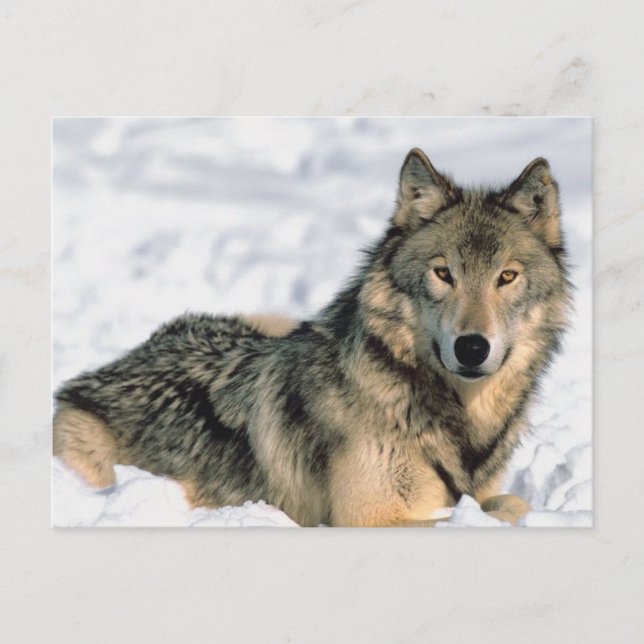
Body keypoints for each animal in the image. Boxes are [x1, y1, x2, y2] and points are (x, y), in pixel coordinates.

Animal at [54, 148, 571, 527]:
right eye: (443, 273)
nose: (472, 347)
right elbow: (499, 513)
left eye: (507, 276)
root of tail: (122, 360)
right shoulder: (370, 518)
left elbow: (508, 503)